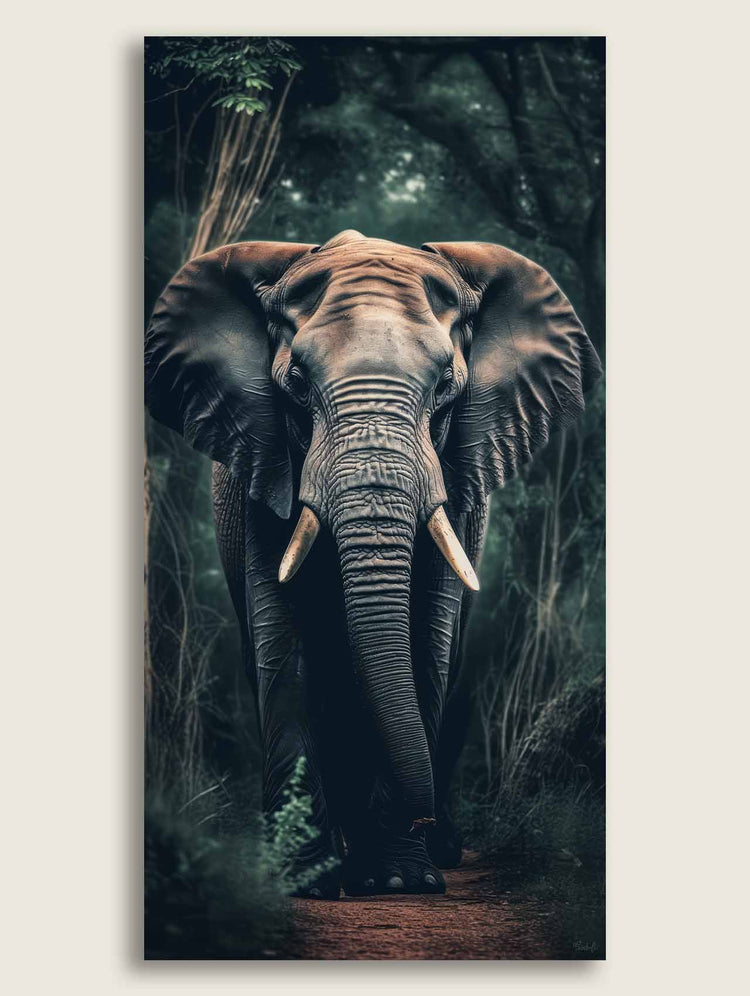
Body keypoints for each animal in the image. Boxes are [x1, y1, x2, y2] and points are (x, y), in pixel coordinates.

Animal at [145, 228, 601, 899]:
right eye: (297, 384)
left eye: (446, 390)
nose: (426, 821)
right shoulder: (265, 463)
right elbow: (285, 641)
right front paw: (305, 881)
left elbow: (427, 642)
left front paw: (399, 881)